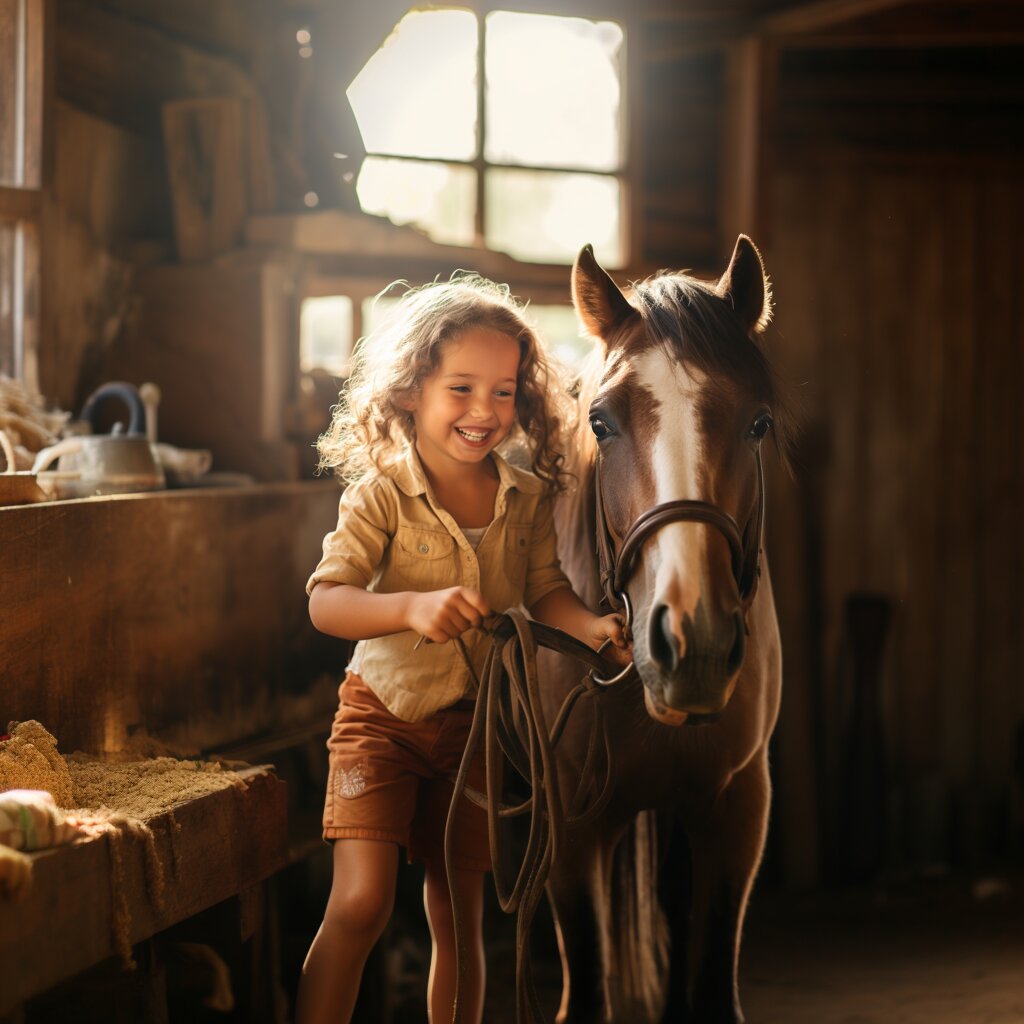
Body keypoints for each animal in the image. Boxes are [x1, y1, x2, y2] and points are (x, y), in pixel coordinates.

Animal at [544, 235, 782, 1019]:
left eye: (758, 422)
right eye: (601, 422)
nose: (693, 644)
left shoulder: (737, 809)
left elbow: (708, 985)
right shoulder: (571, 828)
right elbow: (587, 987)